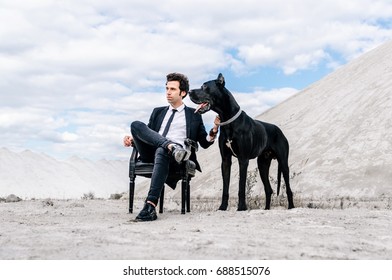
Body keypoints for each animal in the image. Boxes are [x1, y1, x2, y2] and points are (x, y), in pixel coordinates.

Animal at [188, 74, 294, 210]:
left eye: (205, 86)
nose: (189, 92)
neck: (228, 120)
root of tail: (279, 130)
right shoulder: (225, 161)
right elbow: (225, 187)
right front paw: (223, 207)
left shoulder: (243, 159)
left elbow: (241, 186)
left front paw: (242, 207)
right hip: (262, 164)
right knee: (268, 189)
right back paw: (266, 209)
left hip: (283, 162)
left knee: (288, 188)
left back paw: (291, 207)